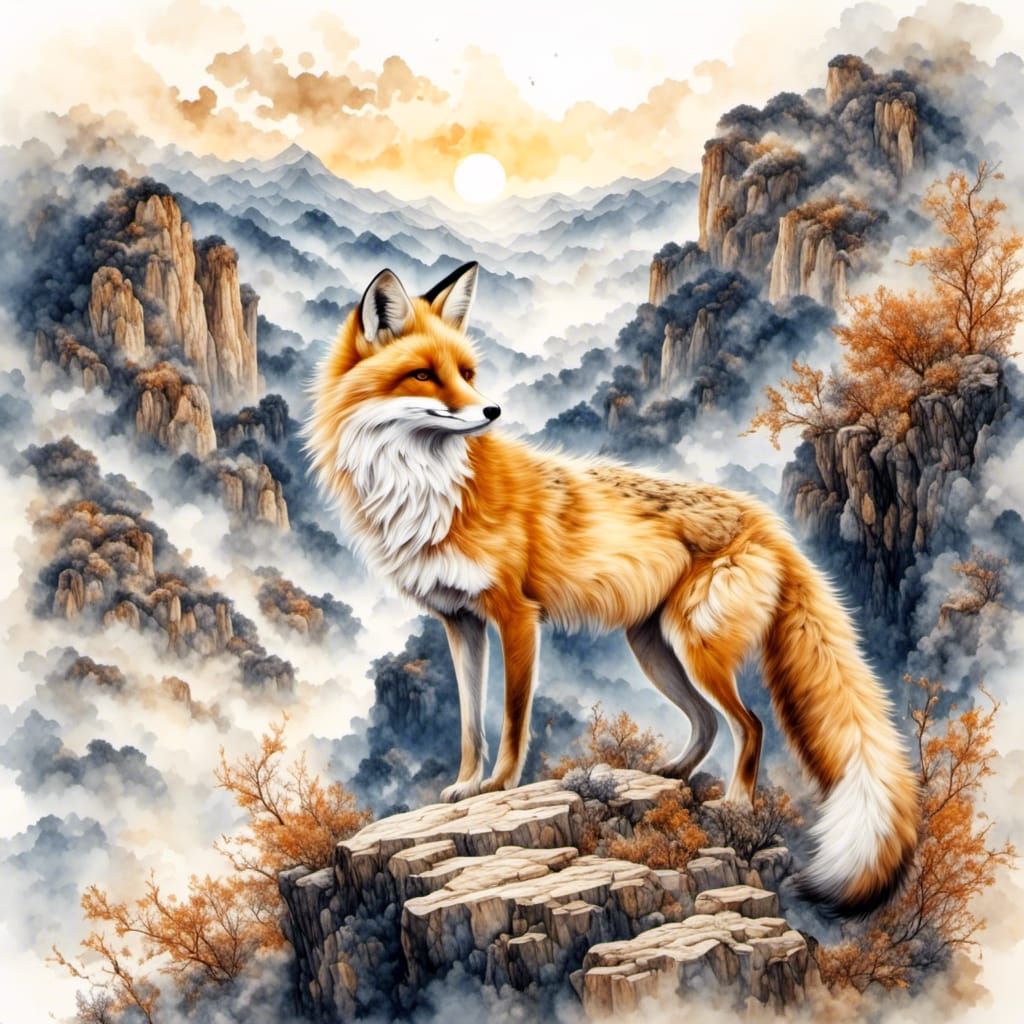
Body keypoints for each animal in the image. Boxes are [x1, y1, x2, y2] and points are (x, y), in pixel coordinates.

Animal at [305, 261, 920, 914]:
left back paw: (734, 804)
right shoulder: (460, 621)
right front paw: (467, 787)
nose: (492, 410)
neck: (429, 489)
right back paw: (671, 777)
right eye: (424, 375)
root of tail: (767, 520)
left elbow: (512, 720)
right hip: (654, 649)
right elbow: (470, 724)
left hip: (696, 648)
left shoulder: (516, 616)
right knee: (707, 724)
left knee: (750, 724)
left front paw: (500, 786)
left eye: (467, 374)